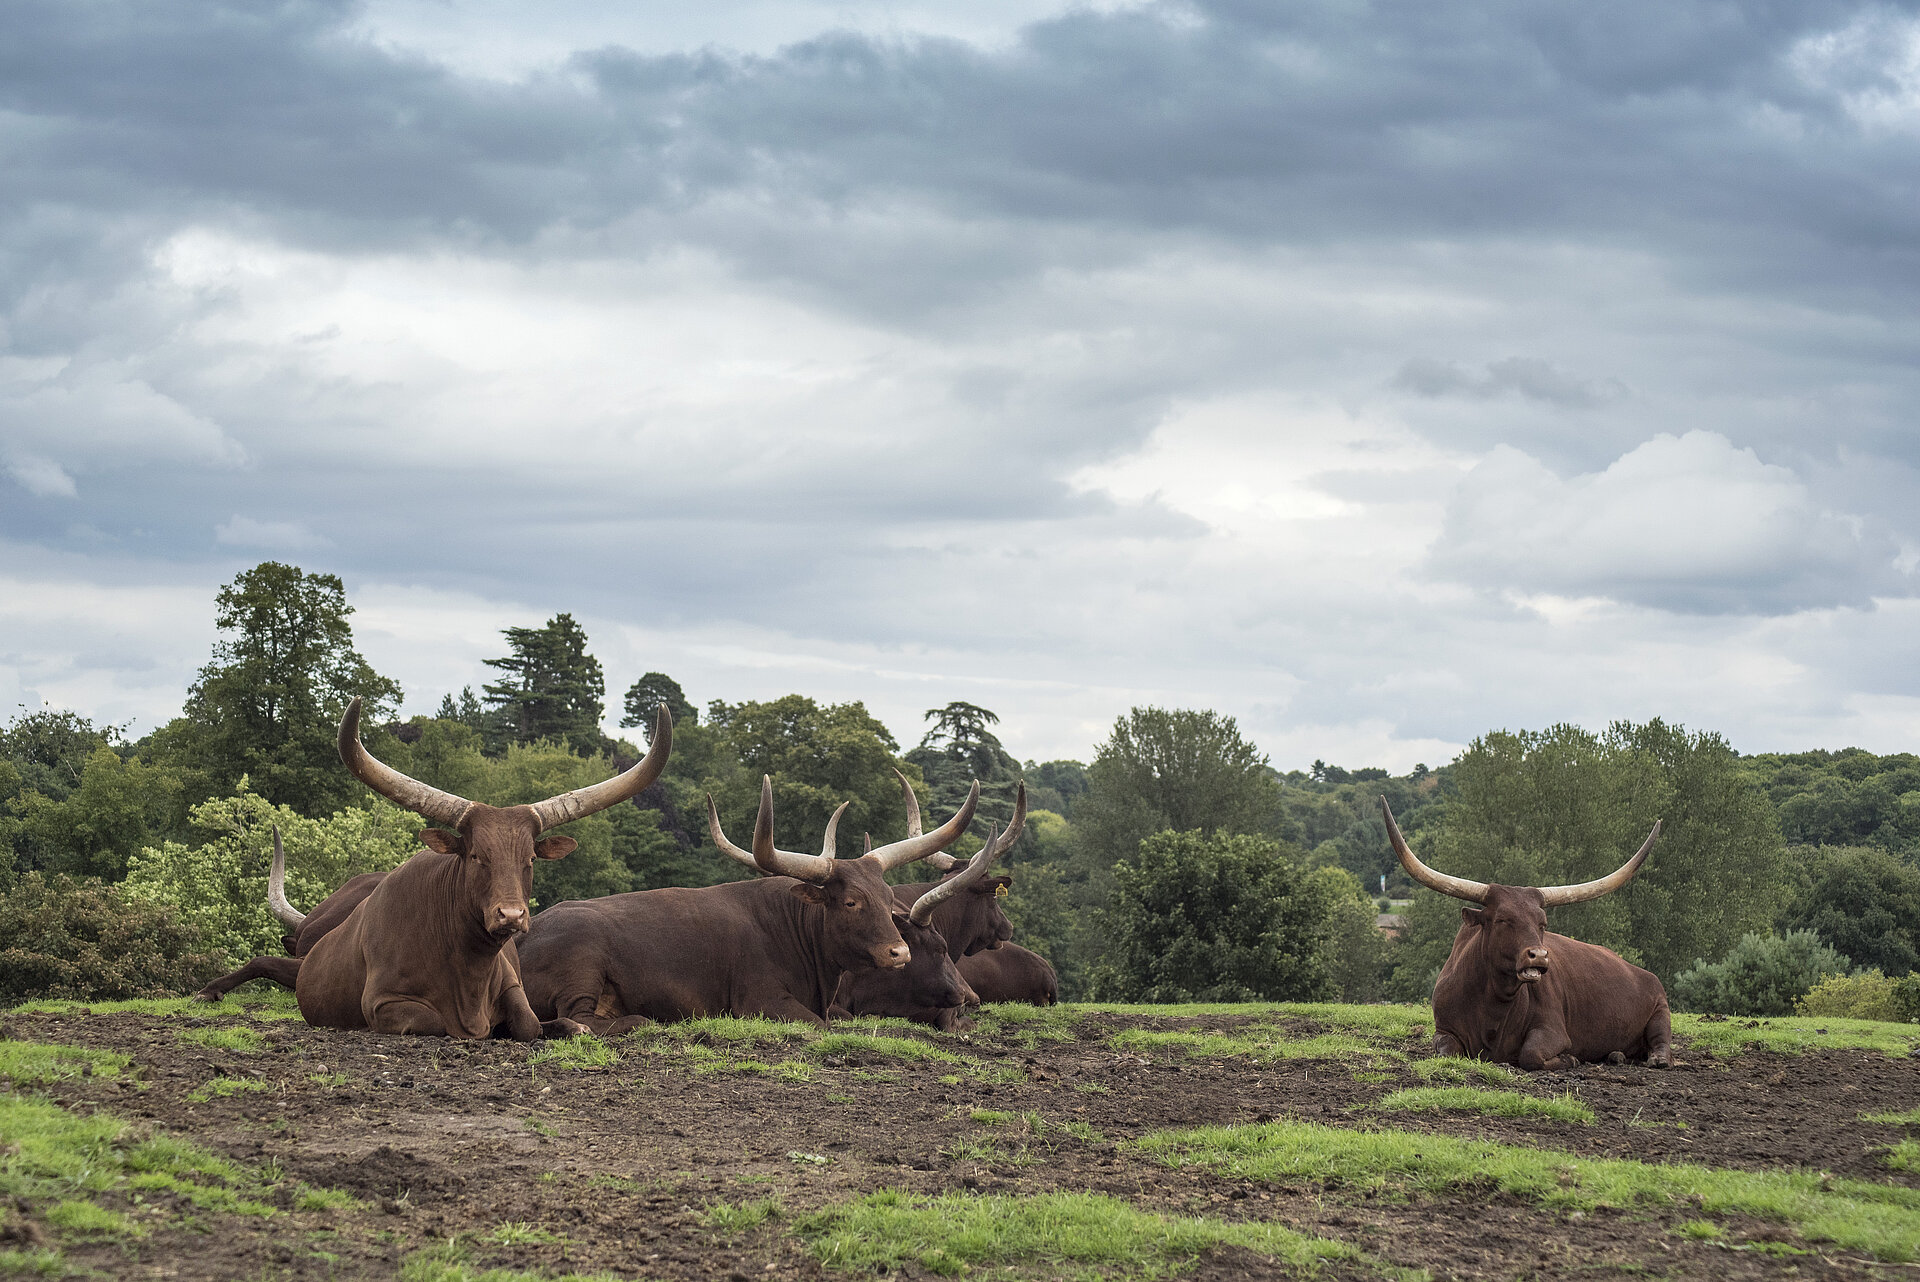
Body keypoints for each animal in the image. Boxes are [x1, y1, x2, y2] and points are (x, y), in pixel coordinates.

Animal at [198, 697, 673, 1040]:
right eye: (476, 855)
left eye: (530, 859)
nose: (512, 915)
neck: (466, 966)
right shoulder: (383, 1003)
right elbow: (435, 1022)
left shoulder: (515, 990)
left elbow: (530, 1023)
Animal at [516, 774, 980, 1030]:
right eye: (850, 902)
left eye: (887, 898)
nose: (898, 951)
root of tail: (522, 934)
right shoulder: (762, 1003)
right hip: (583, 963)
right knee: (582, 1020)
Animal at [1381, 797, 1672, 1070]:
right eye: (1502, 919)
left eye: (1542, 923)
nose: (1539, 956)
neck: (1492, 1007)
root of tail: (1641, 972)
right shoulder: (1443, 1029)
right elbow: (1447, 1051)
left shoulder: (1554, 1030)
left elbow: (1530, 1054)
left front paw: (1570, 1058)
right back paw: (1616, 1054)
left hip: (1661, 1008)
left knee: (1661, 1041)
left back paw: (1657, 1059)